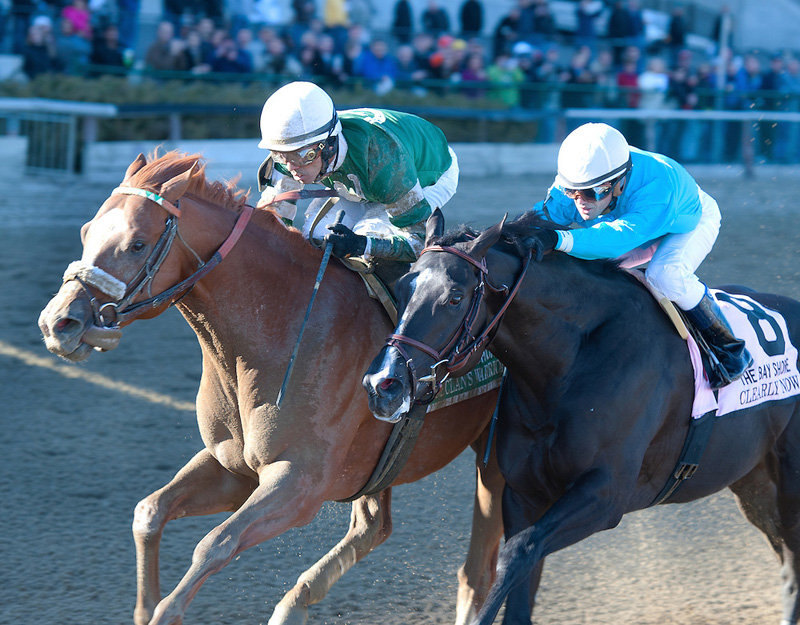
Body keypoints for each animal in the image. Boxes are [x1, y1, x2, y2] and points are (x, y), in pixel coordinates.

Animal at [37, 151, 506, 624]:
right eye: (86, 231)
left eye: (136, 243)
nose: (59, 321)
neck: (276, 335)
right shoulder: (233, 466)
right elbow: (149, 511)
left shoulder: (299, 482)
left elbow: (215, 544)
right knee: (374, 526)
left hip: (496, 458)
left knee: (479, 565)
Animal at [360, 211, 800, 624]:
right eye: (403, 286)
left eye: (454, 296)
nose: (384, 383)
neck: (572, 363)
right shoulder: (525, 491)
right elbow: (520, 582)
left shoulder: (605, 496)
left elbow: (517, 553)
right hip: (753, 481)